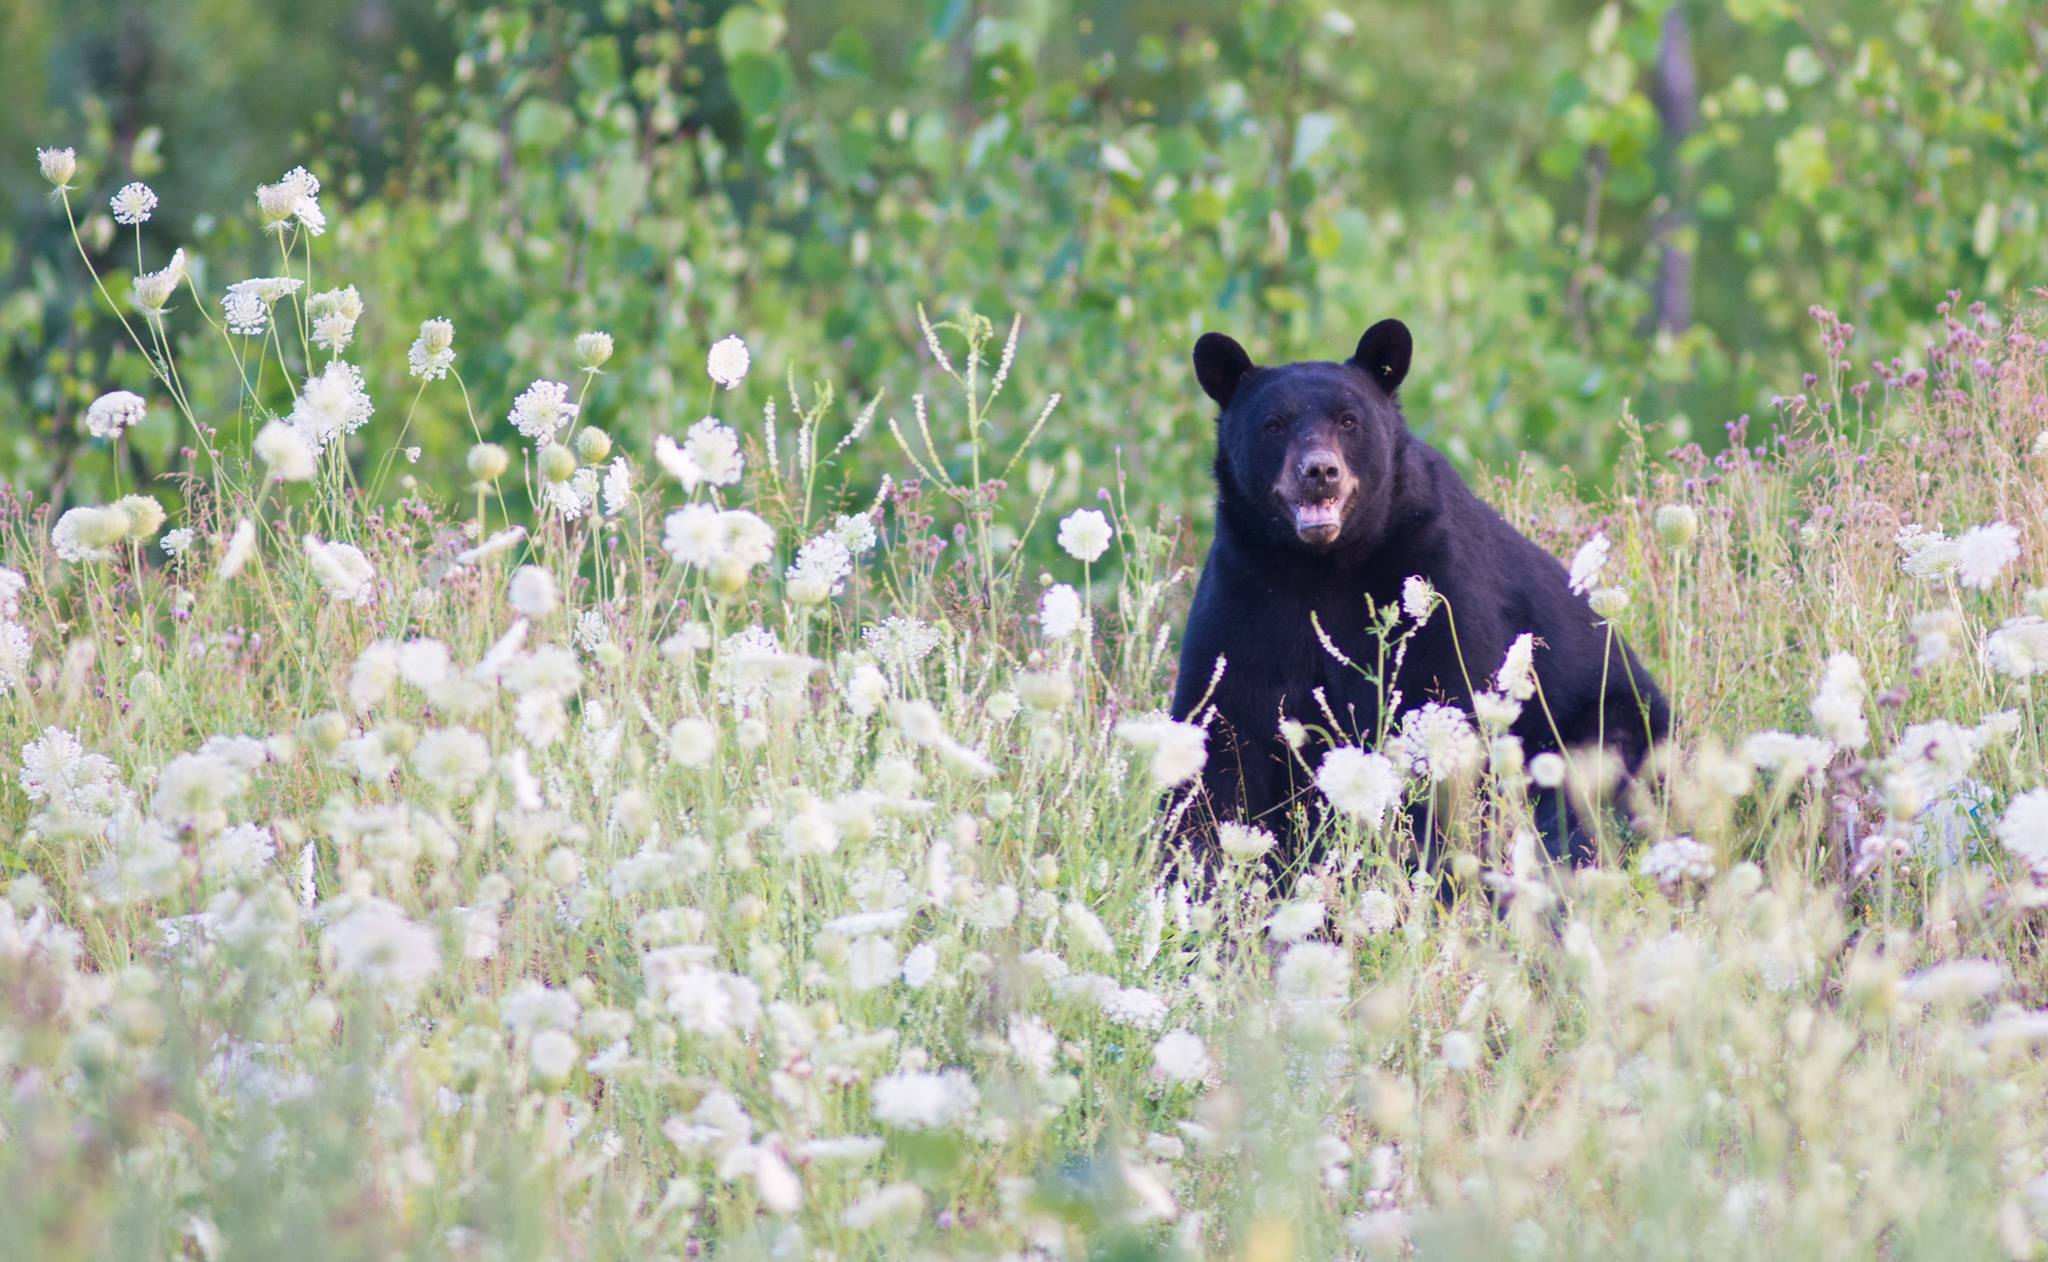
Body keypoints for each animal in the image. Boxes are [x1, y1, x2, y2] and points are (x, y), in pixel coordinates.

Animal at [1171, 317, 1662, 868]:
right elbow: (1221, 734)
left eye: (1349, 420)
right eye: (1273, 424)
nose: (1319, 471)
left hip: (1606, 723)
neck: (1320, 568)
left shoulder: (1432, 574)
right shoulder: (1244, 597)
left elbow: (1440, 707)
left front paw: (1431, 858)